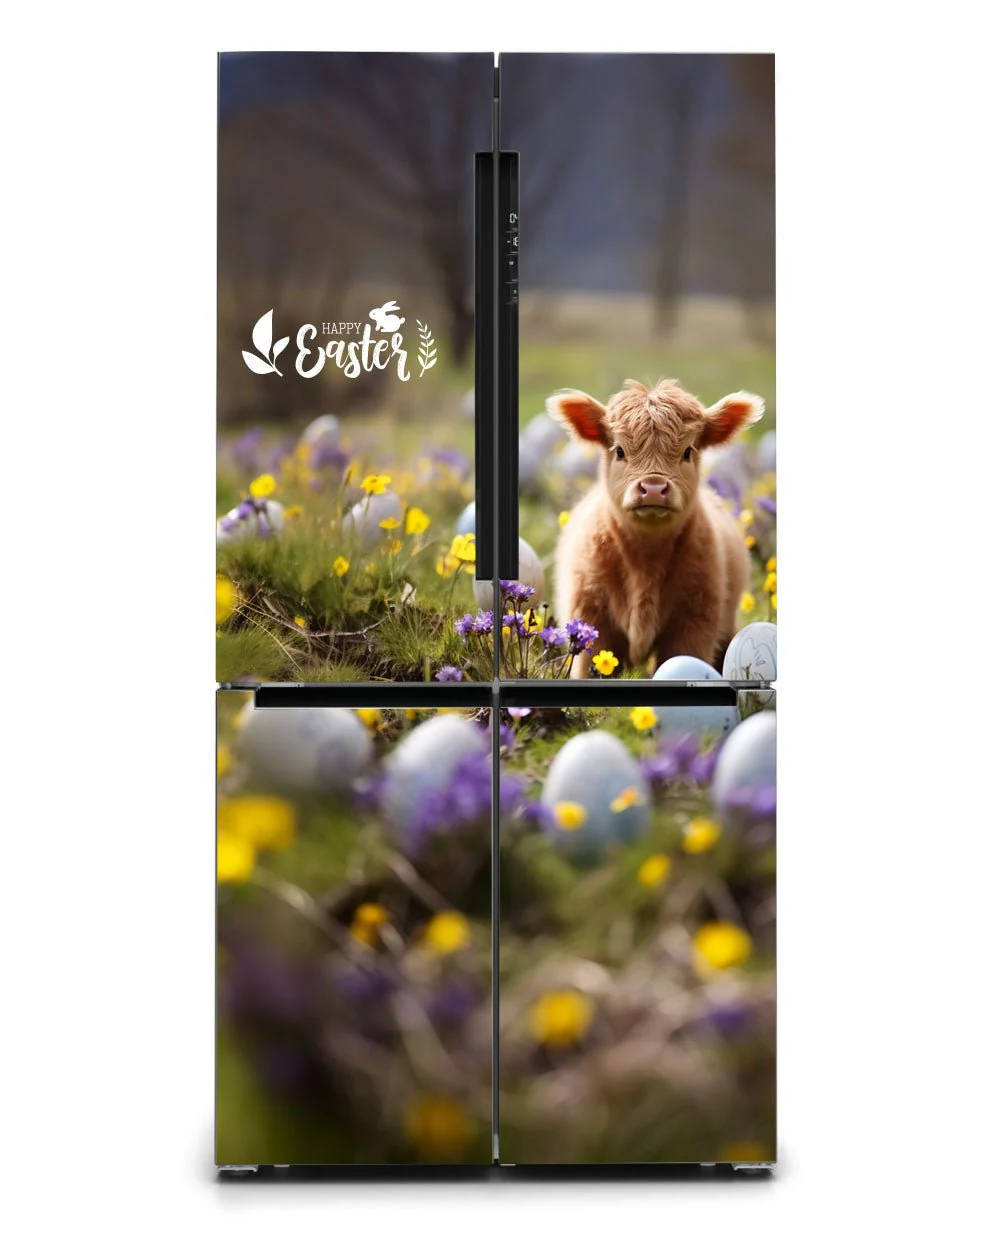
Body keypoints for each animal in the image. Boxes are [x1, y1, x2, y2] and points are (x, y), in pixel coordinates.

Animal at [547, 378, 765, 677]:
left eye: (687, 451)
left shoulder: (695, 622)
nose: (652, 488)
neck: (645, 563)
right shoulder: (591, 615)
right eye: (619, 450)